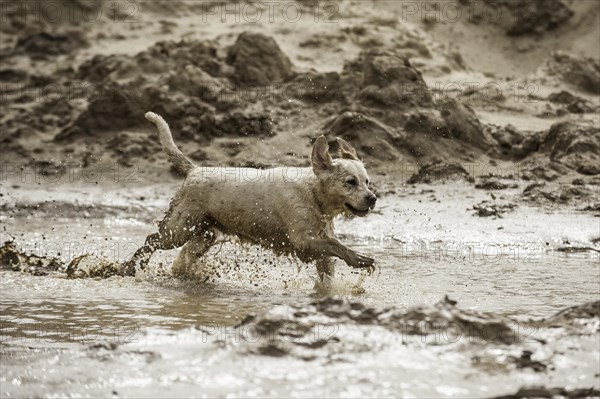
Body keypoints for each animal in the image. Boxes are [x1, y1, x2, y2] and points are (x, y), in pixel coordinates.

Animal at [120, 112, 376, 282]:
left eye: (367, 182)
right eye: (350, 182)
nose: (373, 199)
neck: (312, 194)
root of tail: (195, 170)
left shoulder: (319, 251)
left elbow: (329, 268)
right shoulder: (303, 241)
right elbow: (337, 245)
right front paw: (359, 258)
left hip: (205, 233)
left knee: (181, 258)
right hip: (178, 229)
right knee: (150, 240)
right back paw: (128, 268)